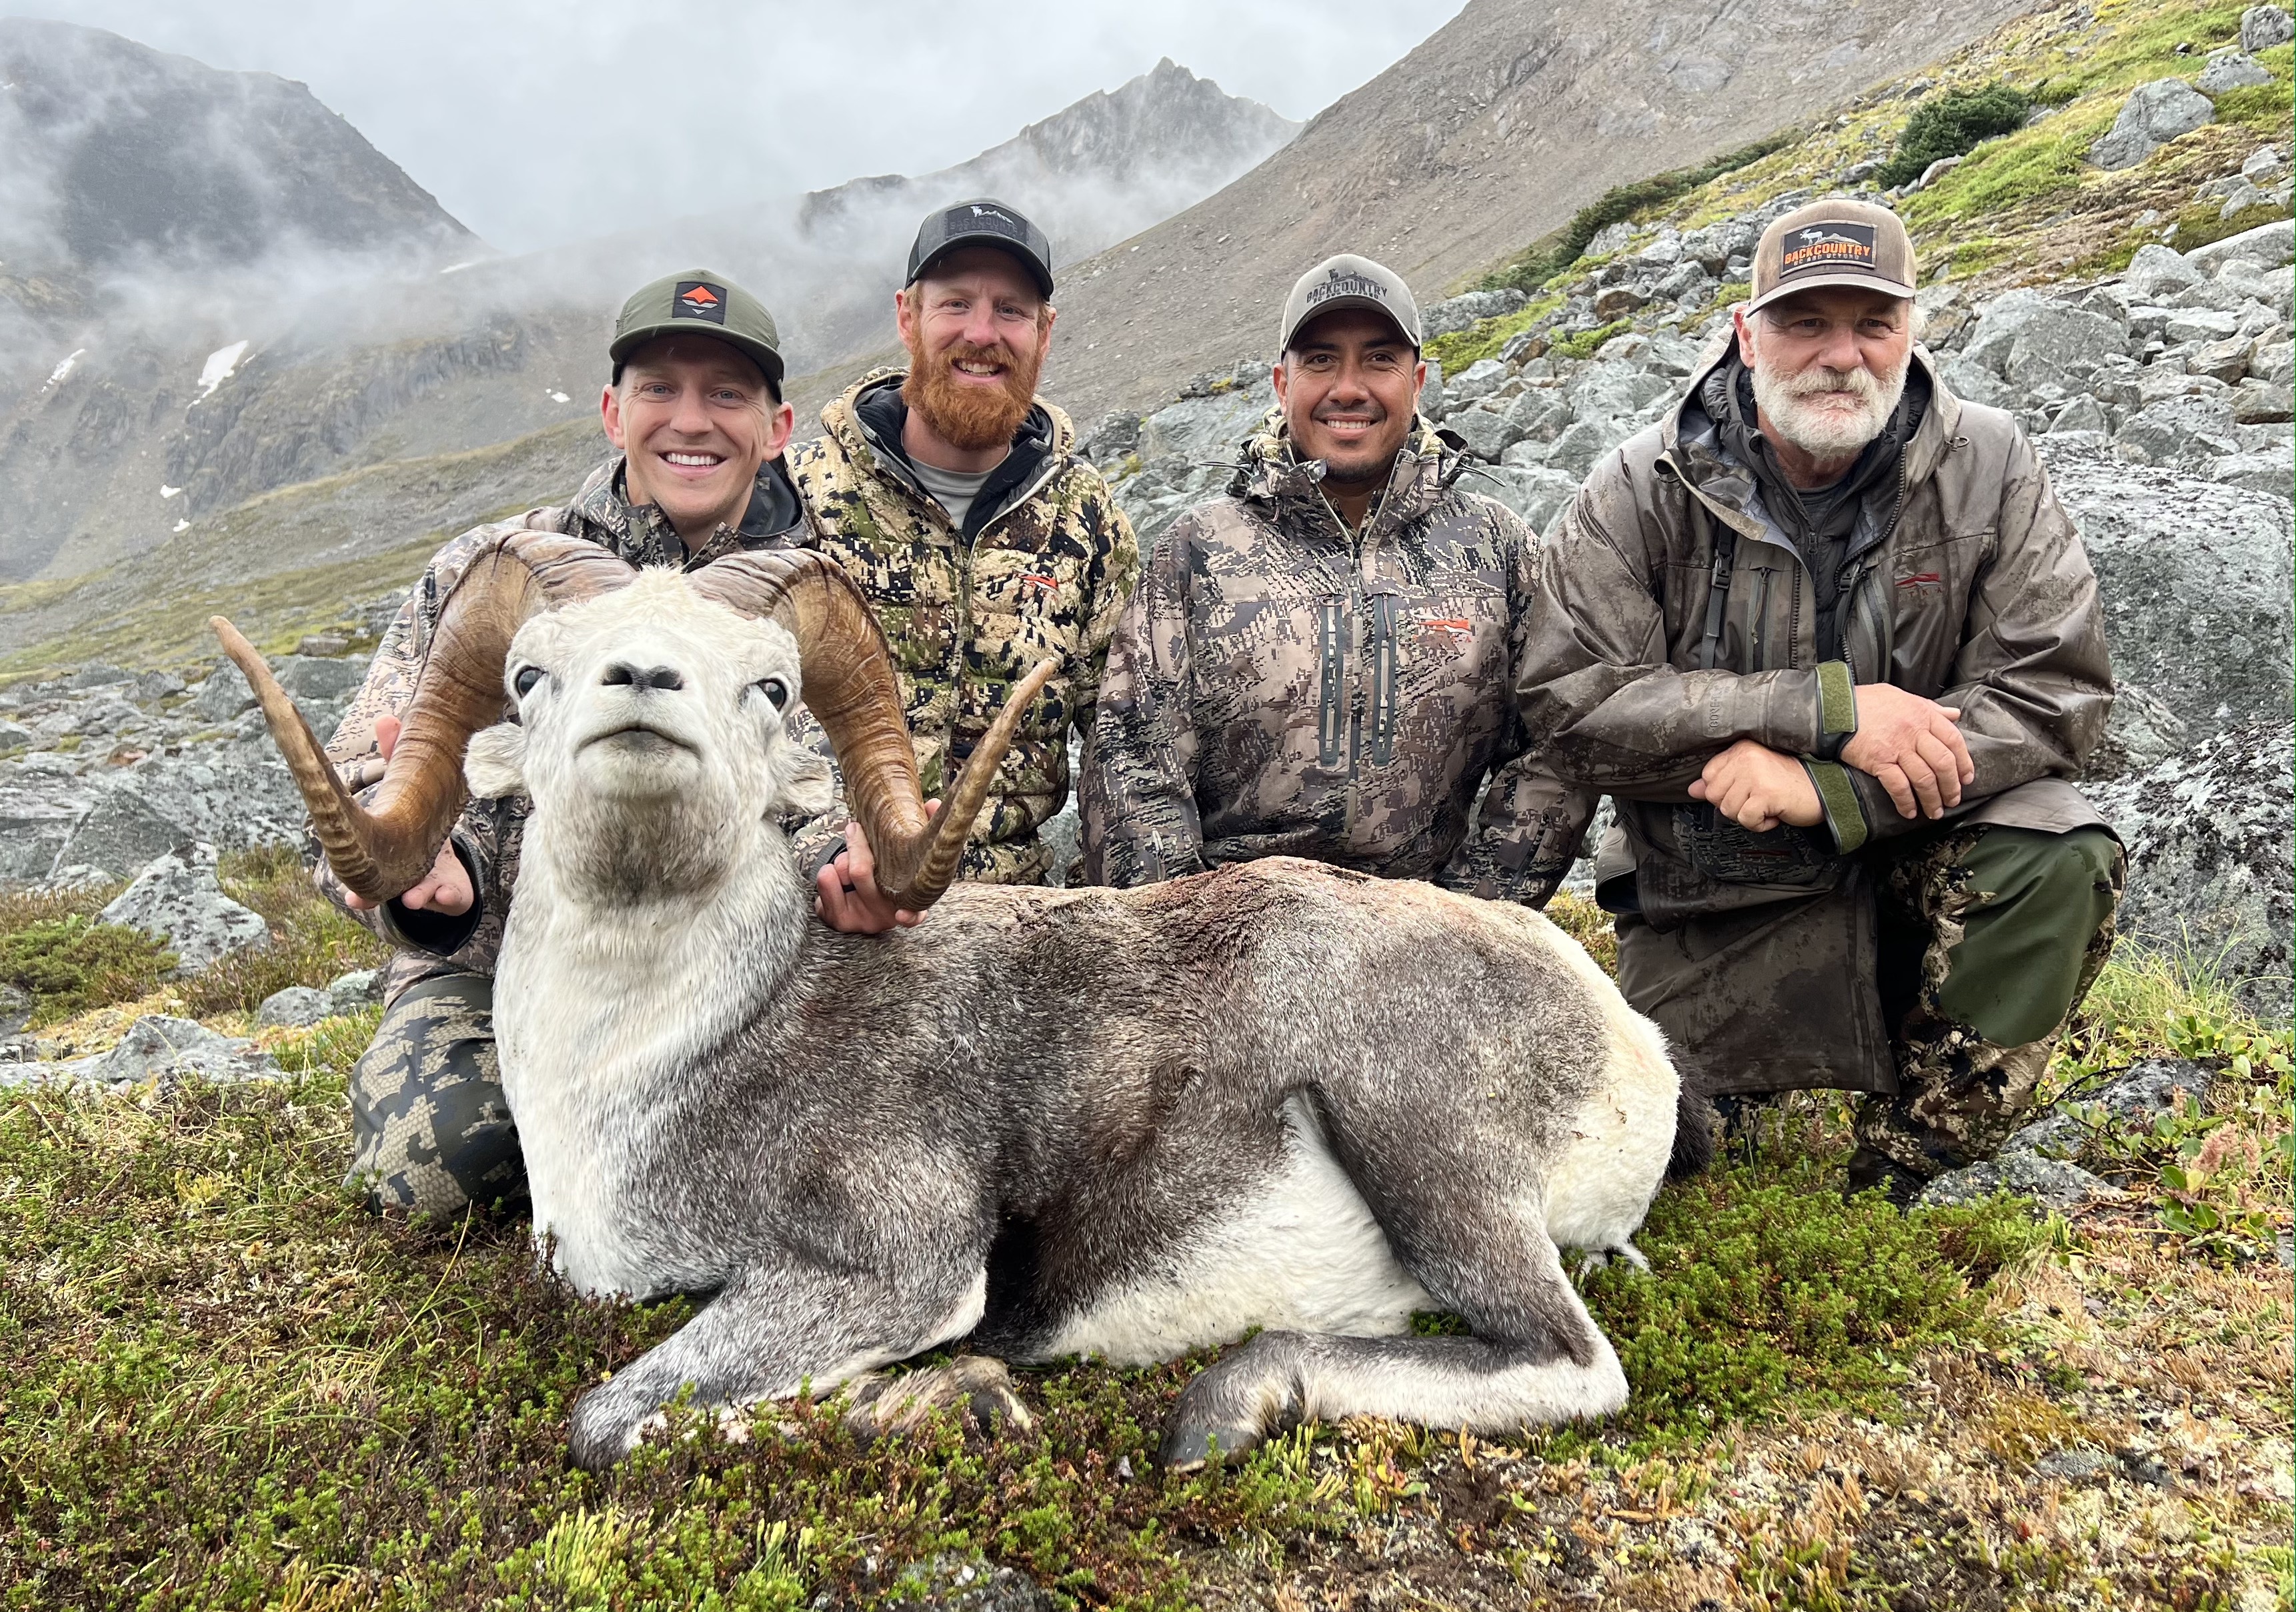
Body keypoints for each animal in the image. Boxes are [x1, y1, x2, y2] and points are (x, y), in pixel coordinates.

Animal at [218, 533, 1691, 1472]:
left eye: (767, 682)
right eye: (530, 671)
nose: (640, 687)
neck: (646, 1068)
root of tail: (1631, 1048)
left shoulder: (892, 1269)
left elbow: (613, 1422)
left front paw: (955, 1408)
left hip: (1417, 1144)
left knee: (1571, 1364)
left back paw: (1224, 1407)